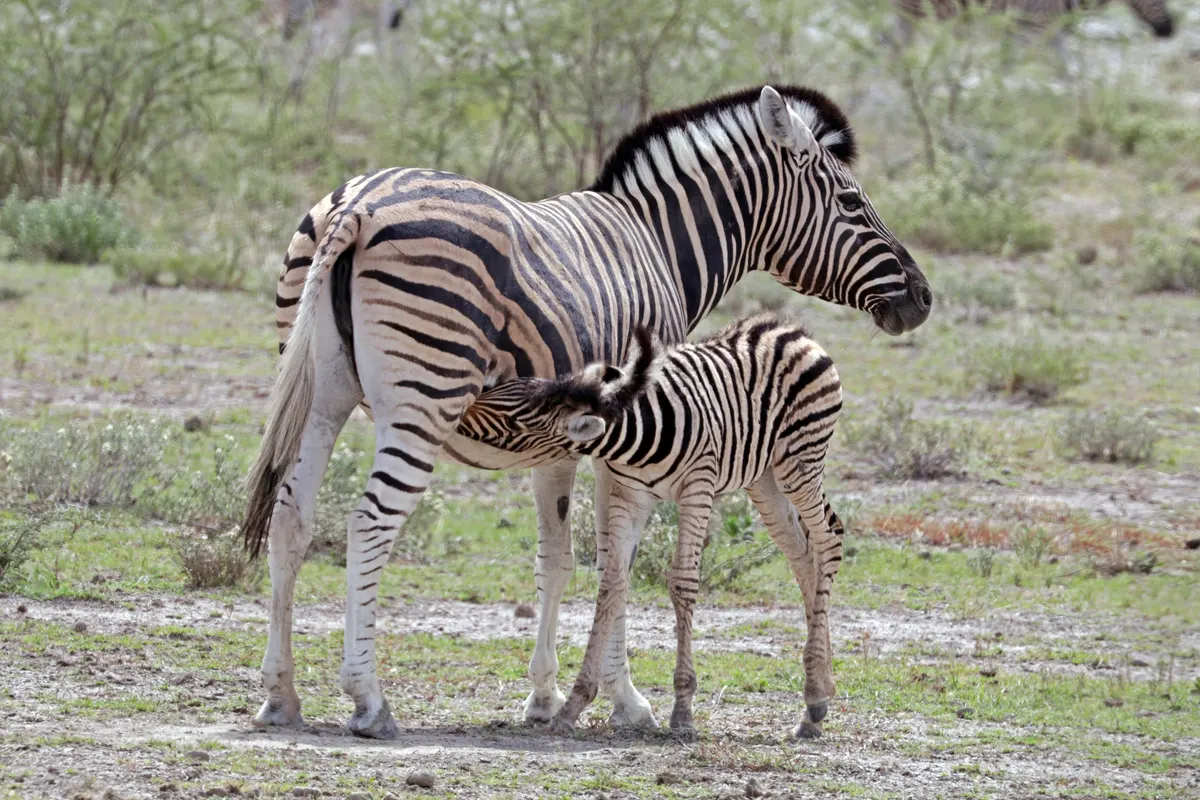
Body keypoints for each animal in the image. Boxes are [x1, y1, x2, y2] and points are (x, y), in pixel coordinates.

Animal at [458, 314, 845, 739]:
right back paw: (817, 695)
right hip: (765, 481)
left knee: (829, 540)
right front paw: (574, 704)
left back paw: (814, 694)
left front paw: (683, 707)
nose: (457, 416)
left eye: (513, 422)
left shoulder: (697, 487)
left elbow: (683, 583)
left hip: (799, 465)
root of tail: (792, 331)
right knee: (802, 556)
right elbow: (611, 585)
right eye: (505, 388)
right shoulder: (629, 495)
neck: (641, 431)